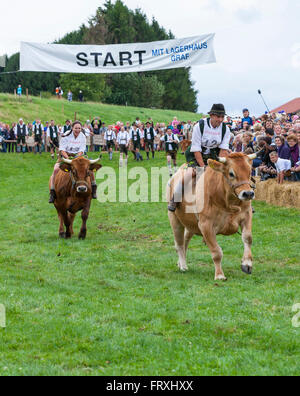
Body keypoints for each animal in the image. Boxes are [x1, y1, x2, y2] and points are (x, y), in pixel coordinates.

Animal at [168, 152, 256, 282]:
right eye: (231, 173)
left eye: (250, 171)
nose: (248, 193)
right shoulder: (206, 225)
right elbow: (216, 252)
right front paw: (219, 275)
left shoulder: (247, 215)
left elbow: (247, 238)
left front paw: (247, 264)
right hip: (175, 220)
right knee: (179, 243)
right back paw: (183, 265)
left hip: (191, 224)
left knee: (185, 240)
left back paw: (181, 263)